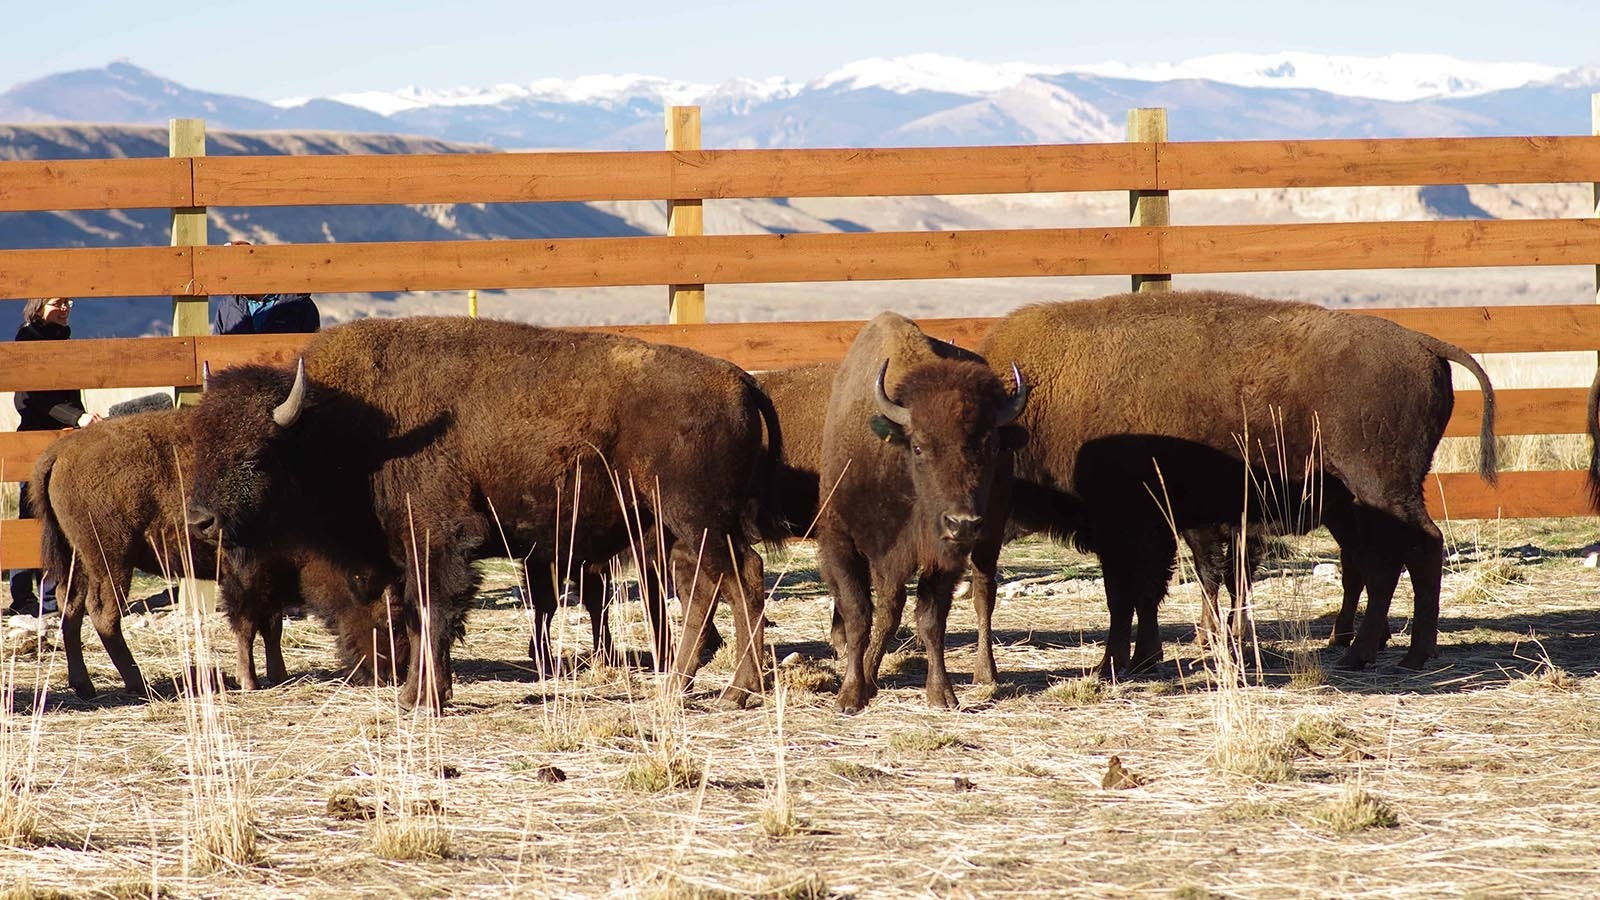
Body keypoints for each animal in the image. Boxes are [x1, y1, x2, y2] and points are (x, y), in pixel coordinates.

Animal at [32, 405, 406, 695]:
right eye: (391, 616)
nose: (393, 673)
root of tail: (62, 450)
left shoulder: (270, 576)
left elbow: (272, 625)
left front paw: (279, 674)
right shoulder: (244, 575)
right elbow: (247, 624)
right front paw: (249, 680)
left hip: (79, 560)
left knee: (71, 607)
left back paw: (85, 685)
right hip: (111, 559)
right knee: (103, 613)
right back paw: (138, 683)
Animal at [184, 315, 784, 707]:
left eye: (256, 454)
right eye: (197, 445)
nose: (201, 521)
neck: (341, 425)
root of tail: (738, 379)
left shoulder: (437, 539)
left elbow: (430, 610)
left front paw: (421, 697)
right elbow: (418, 612)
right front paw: (423, 692)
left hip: (692, 518)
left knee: (729, 579)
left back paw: (712, 690)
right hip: (684, 526)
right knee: (728, 580)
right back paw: (719, 688)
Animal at [819, 312, 1030, 711]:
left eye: (991, 445)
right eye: (919, 446)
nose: (962, 523)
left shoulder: (944, 557)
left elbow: (931, 621)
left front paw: (941, 694)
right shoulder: (840, 542)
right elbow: (859, 614)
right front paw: (851, 693)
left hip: (990, 534)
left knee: (983, 594)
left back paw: (985, 673)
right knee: (889, 607)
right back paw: (869, 676)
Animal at [972, 291, 1497, 675]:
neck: (1040, 398)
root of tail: (1424, 343)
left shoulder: (1129, 525)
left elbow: (1128, 594)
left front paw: (1112, 666)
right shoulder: (1165, 525)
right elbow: (1153, 591)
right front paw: (1146, 658)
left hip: (1381, 488)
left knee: (1415, 550)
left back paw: (1402, 654)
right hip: (1364, 499)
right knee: (1385, 560)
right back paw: (1367, 650)